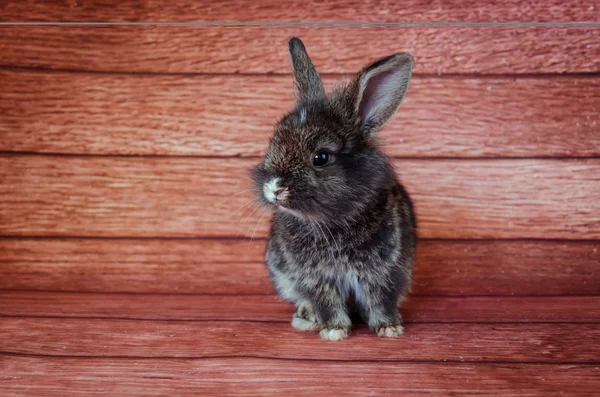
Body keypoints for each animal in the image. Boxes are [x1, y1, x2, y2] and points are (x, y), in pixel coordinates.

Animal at [251, 38, 414, 340]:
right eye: (273, 144)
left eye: (321, 157)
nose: (274, 189)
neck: (332, 220)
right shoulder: (316, 279)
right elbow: (328, 302)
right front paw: (334, 331)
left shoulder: (384, 272)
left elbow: (380, 300)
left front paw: (389, 329)